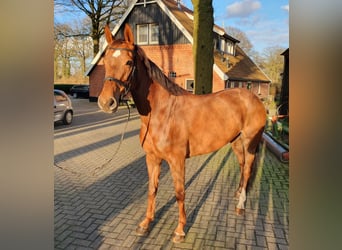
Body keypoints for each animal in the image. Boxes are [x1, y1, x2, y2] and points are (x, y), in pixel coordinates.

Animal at [97, 23, 266, 242]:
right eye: (106, 61)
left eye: (128, 62)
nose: (106, 103)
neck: (162, 112)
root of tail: (254, 98)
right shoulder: (152, 158)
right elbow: (152, 189)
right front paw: (145, 224)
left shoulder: (176, 160)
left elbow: (179, 193)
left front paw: (179, 230)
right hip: (236, 142)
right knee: (243, 166)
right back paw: (238, 195)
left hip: (250, 142)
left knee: (248, 170)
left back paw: (240, 206)